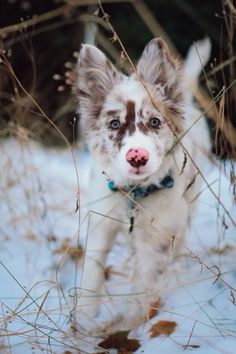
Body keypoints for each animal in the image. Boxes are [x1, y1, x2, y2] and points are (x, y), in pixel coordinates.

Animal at [74, 36, 210, 332]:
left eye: (155, 122)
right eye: (114, 124)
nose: (137, 156)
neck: (134, 193)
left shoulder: (158, 231)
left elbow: (146, 281)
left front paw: (127, 324)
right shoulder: (101, 219)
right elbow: (91, 270)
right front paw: (85, 317)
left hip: (189, 202)